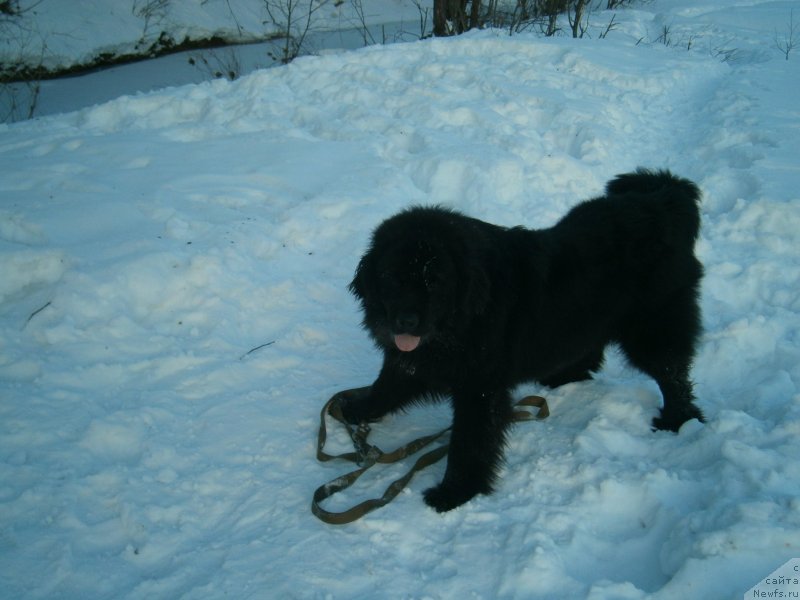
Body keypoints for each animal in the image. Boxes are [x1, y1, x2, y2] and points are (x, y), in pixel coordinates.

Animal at [340, 168, 704, 510]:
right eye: (391, 277)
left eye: (434, 280)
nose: (406, 321)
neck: (462, 320)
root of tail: (662, 200)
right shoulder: (417, 362)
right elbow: (387, 385)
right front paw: (355, 409)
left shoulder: (480, 389)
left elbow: (468, 442)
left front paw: (454, 492)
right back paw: (565, 376)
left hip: (653, 328)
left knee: (673, 374)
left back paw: (677, 420)